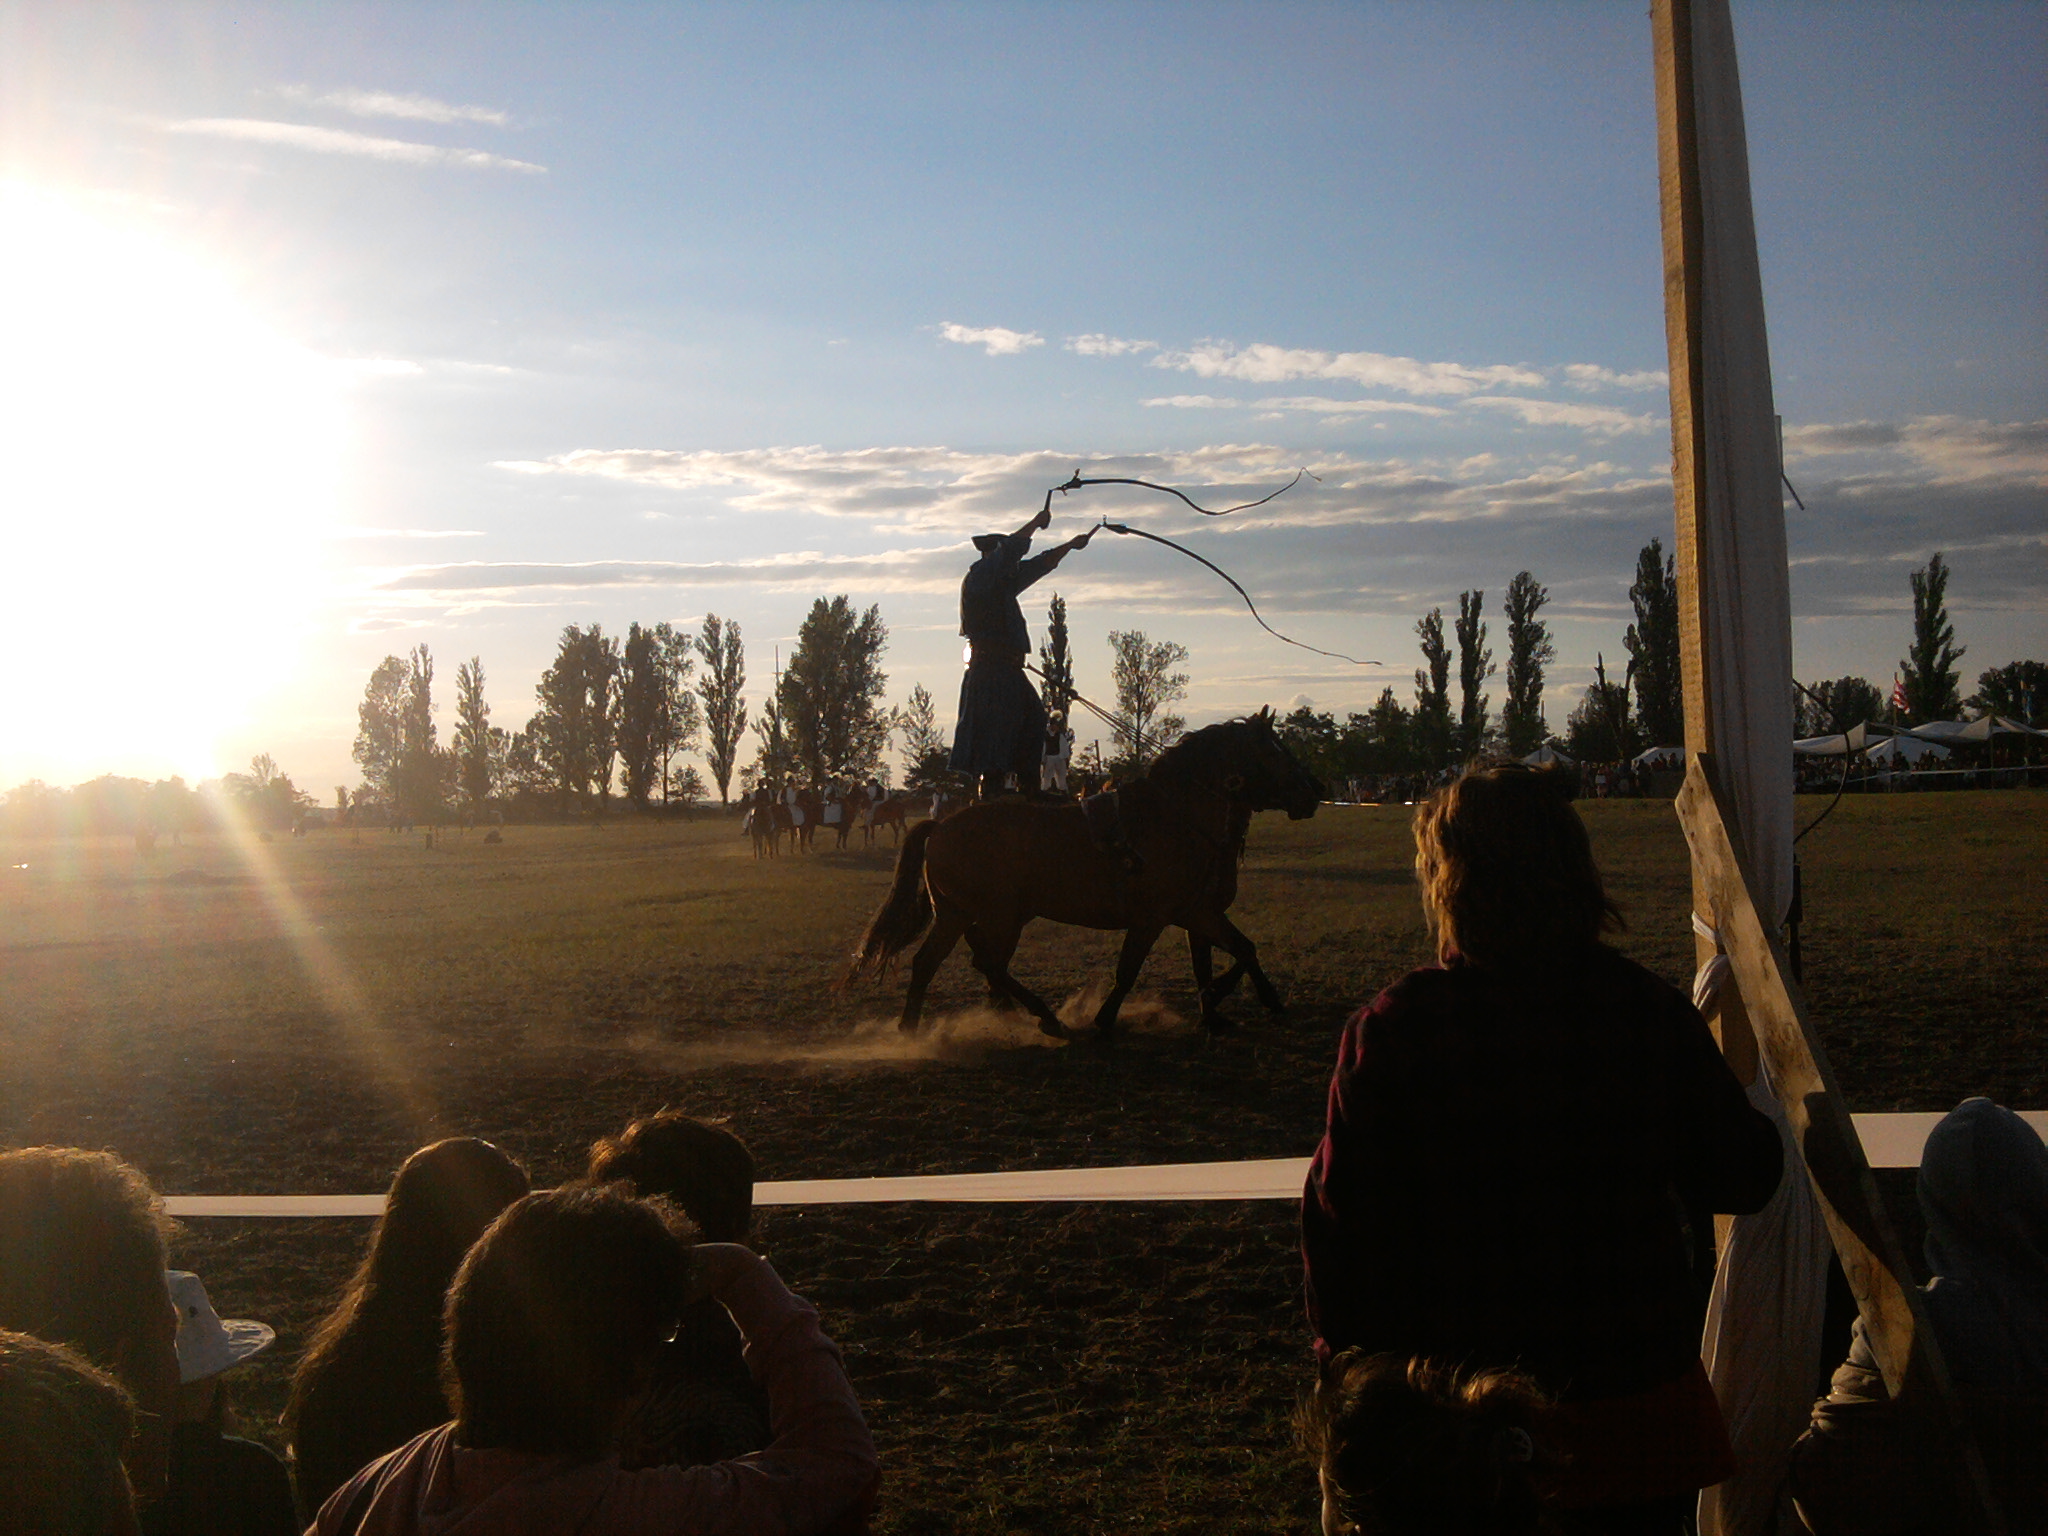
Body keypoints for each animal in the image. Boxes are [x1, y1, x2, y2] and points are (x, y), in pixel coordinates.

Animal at [841, 710, 1323, 1037]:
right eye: (1273, 752)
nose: (1314, 792)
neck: (1176, 817)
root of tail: (941, 824)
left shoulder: (1196, 914)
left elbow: (1235, 952)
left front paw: (1228, 1007)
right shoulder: (1154, 918)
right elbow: (1129, 970)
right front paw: (1106, 1019)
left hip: (959, 915)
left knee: (933, 963)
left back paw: (915, 1028)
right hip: (997, 917)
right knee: (985, 961)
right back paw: (1043, 1018)